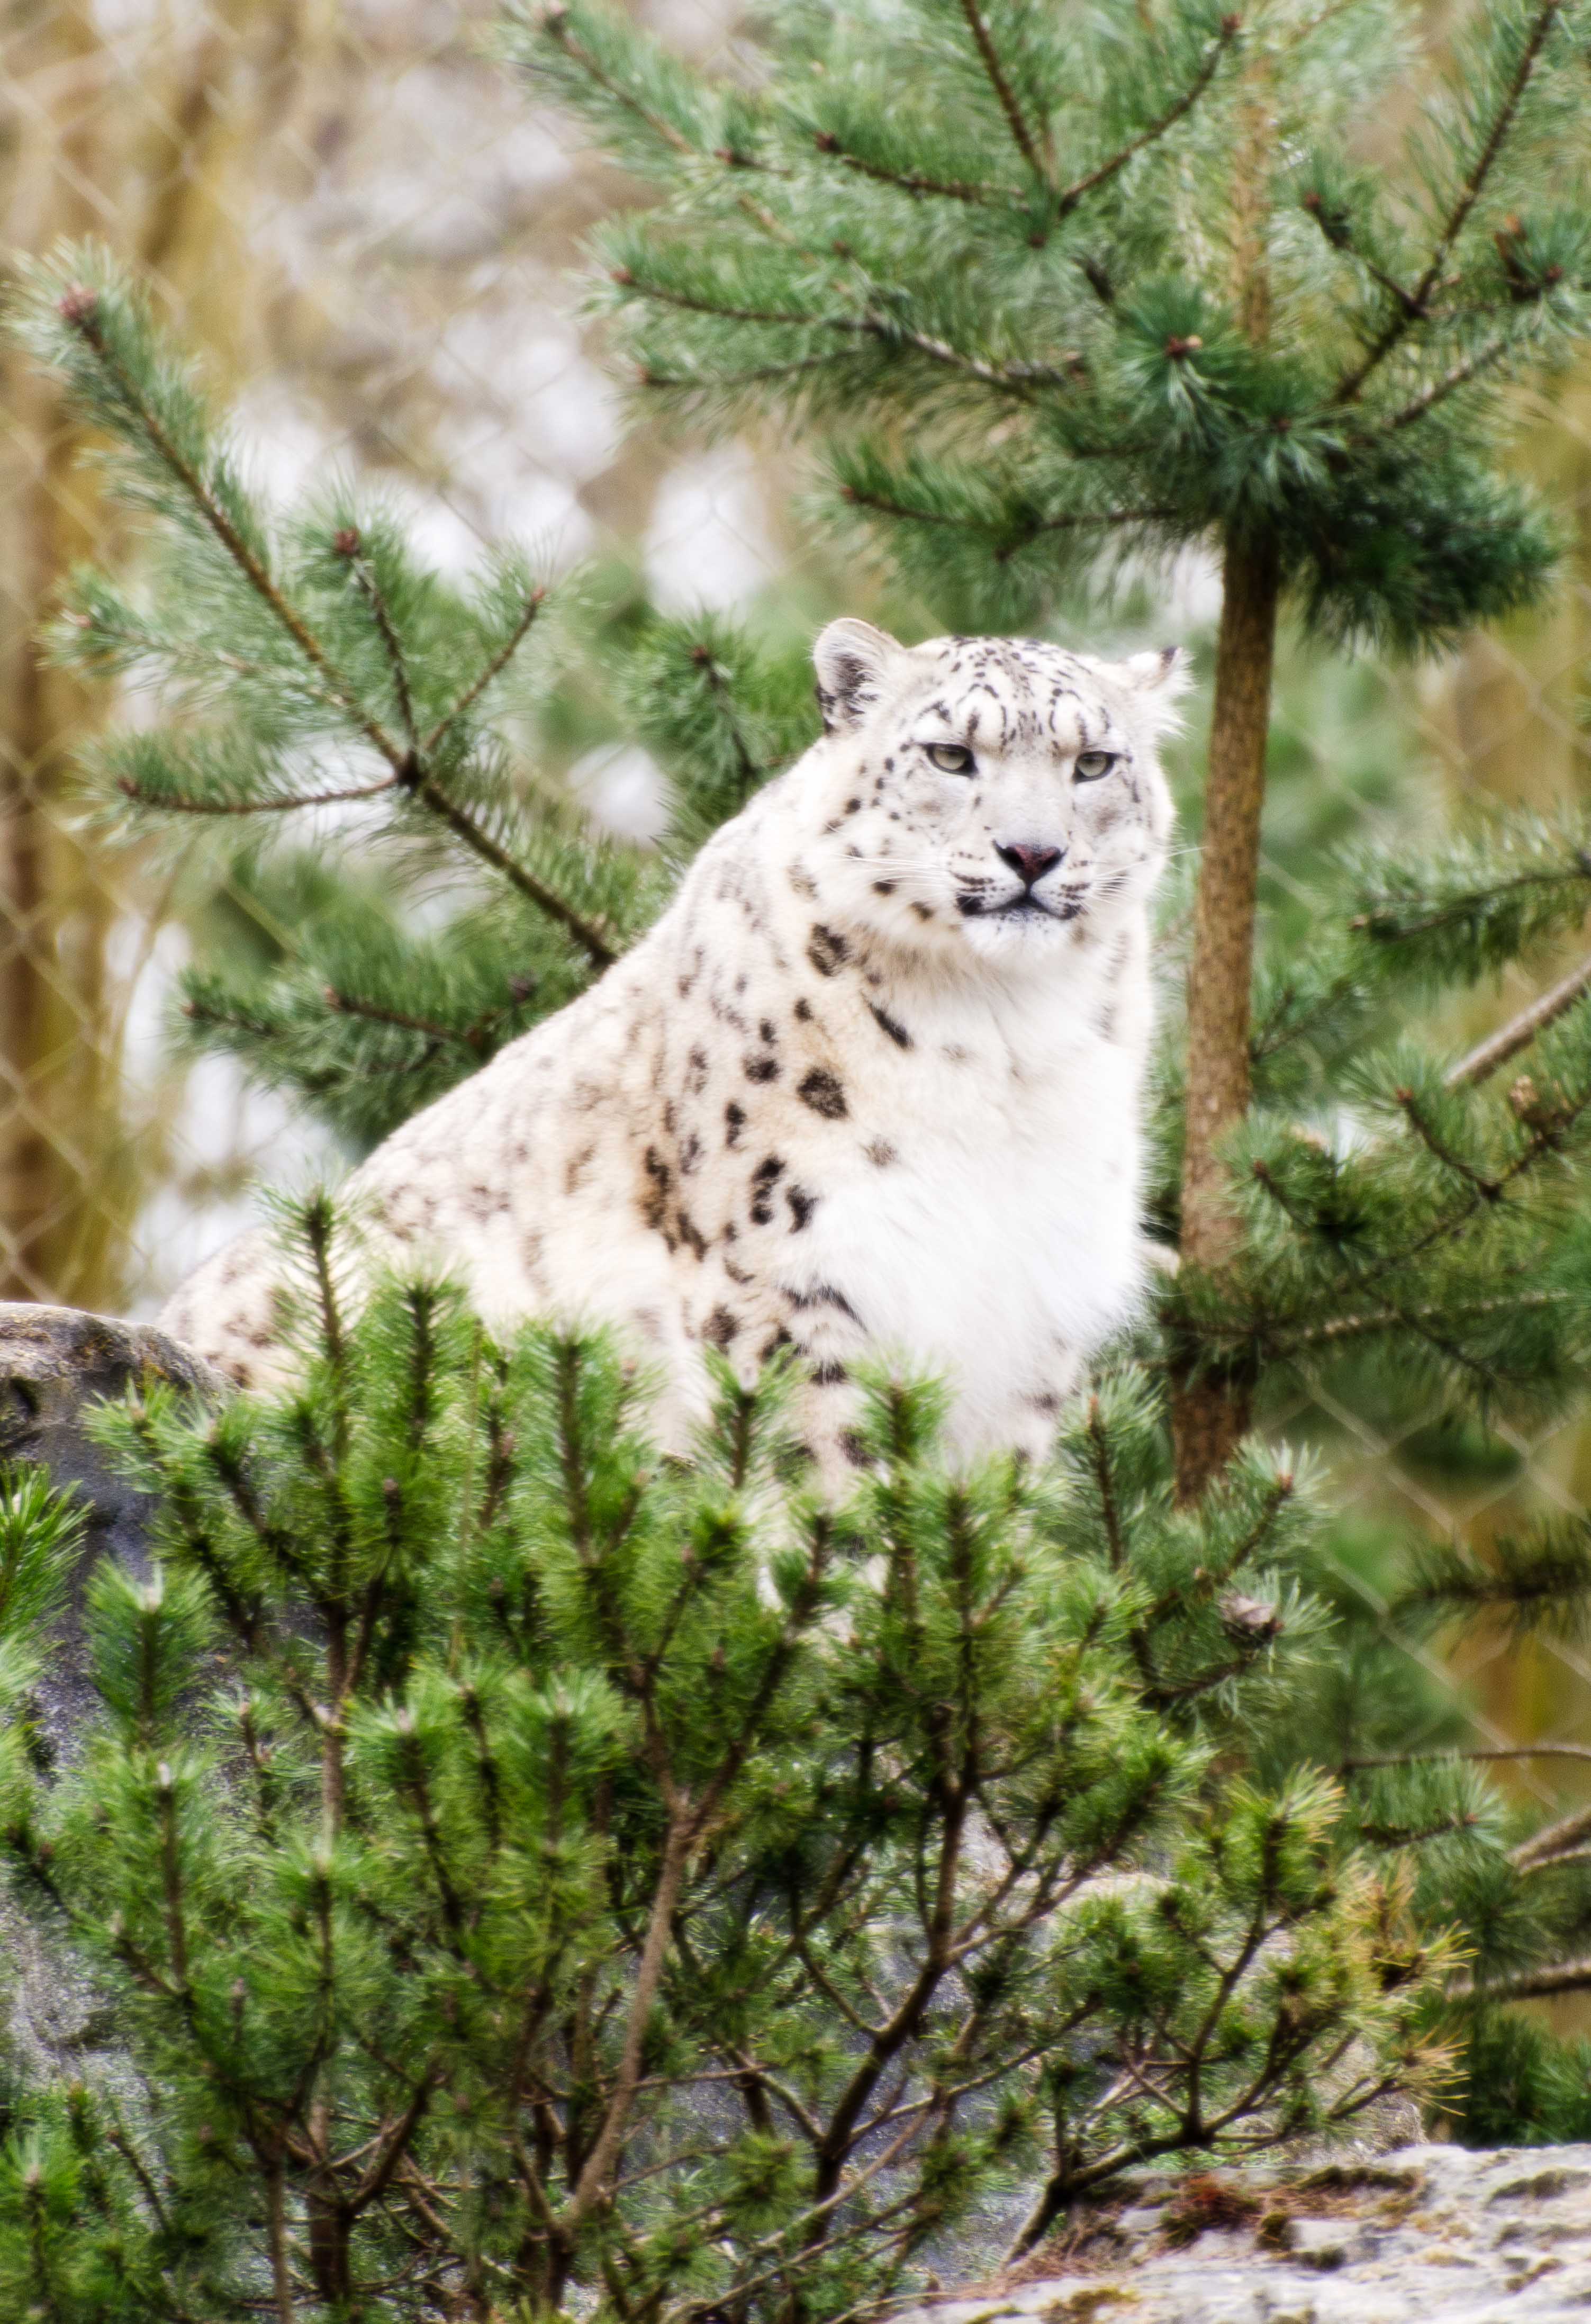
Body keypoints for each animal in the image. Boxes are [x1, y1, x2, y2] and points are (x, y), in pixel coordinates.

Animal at [159, 620, 1186, 1484]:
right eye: (949, 754)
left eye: (1093, 762)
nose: (1033, 854)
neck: (1006, 1038)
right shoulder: (791, 1270)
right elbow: (826, 1470)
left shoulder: (1036, 1302)